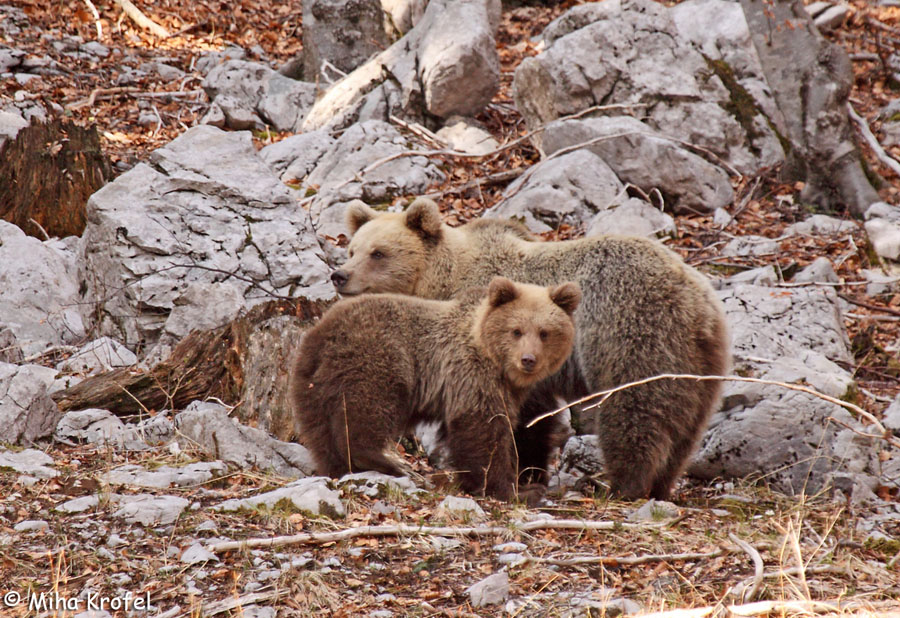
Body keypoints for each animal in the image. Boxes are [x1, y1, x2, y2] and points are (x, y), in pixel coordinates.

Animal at [292, 274, 580, 500]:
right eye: (516, 330)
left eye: (544, 332)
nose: (528, 359)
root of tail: (321, 333)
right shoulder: (470, 373)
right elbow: (483, 430)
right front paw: (513, 488)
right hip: (377, 357)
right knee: (369, 406)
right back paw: (386, 461)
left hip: (312, 384)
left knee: (321, 433)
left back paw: (339, 466)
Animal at [330, 197, 732, 500]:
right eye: (351, 248)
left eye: (378, 253)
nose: (339, 275)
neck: (443, 281)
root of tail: (699, 302)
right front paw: (528, 471)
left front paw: (514, 470)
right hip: (700, 364)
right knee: (685, 426)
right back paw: (661, 485)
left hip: (631, 333)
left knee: (635, 409)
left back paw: (621, 485)